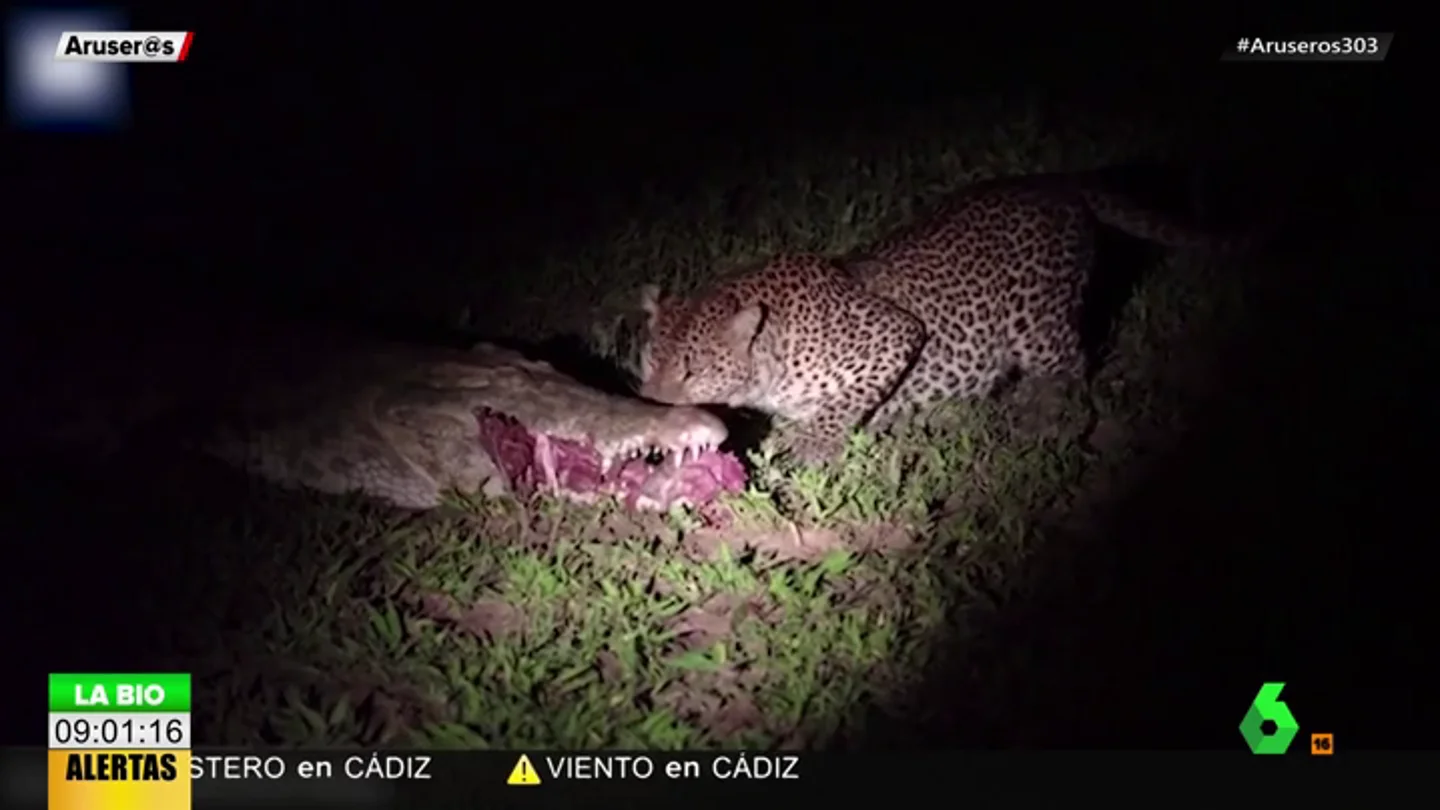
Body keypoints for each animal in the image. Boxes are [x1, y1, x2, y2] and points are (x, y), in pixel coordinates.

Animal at [636, 169, 1255, 463]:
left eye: (692, 371)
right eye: (648, 364)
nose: (654, 409)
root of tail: (1050, 180)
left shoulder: (893, 335)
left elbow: (844, 403)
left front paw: (815, 443)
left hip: (1038, 323)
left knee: (1071, 365)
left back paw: (1044, 414)